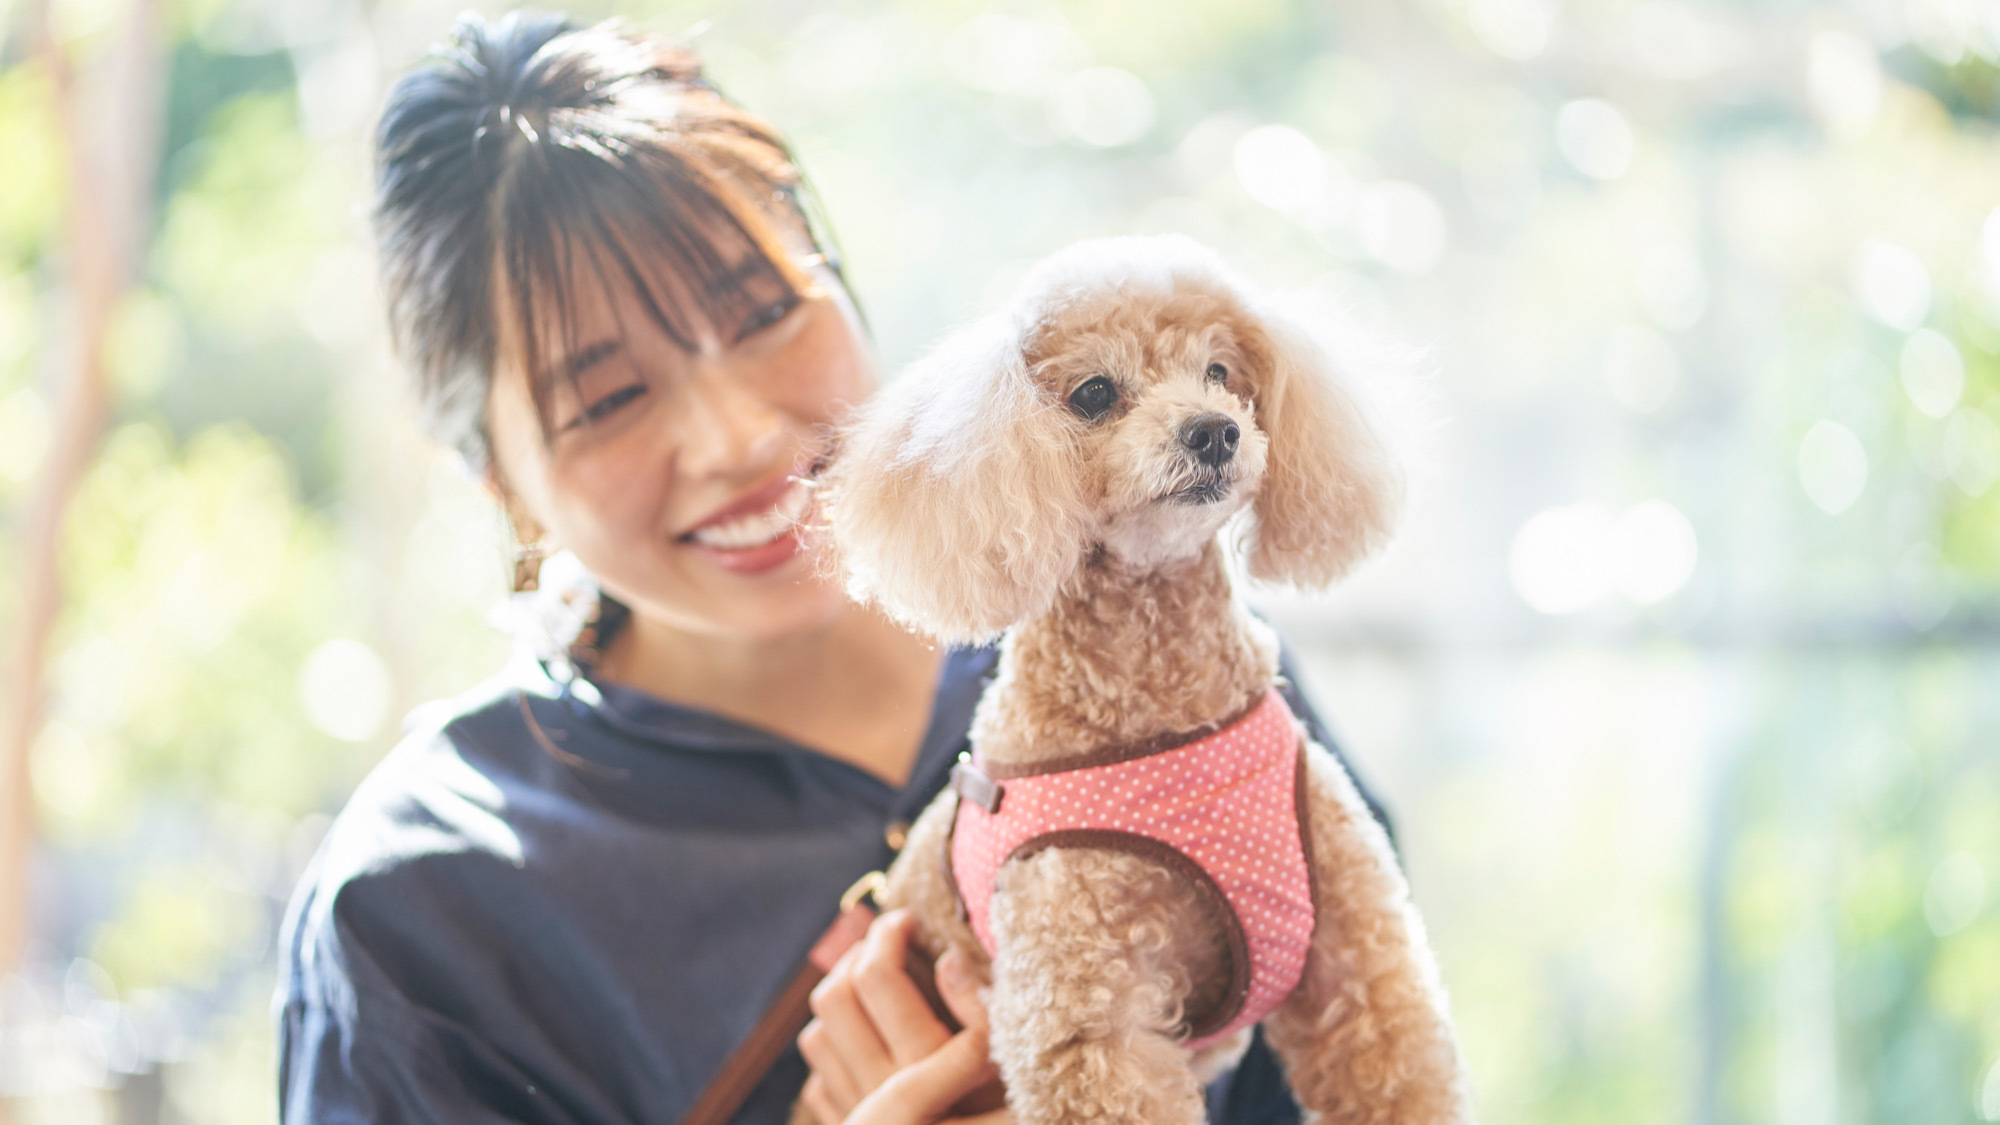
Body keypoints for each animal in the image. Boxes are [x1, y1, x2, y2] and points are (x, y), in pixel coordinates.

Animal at [816, 232, 1472, 1112]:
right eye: (1094, 392)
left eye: (1220, 371)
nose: (1213, 432)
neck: (1168, 696)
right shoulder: (1092, 1019)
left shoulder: (1359, 956)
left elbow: (1398, 1072)